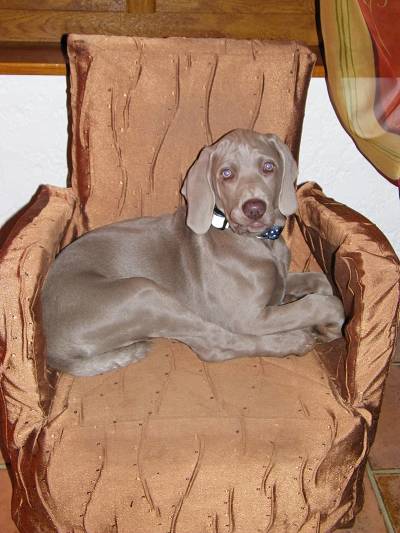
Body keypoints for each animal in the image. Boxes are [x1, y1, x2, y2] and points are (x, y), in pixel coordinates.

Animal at [41, 129, 344, 376]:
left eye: (268, 167)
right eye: (226, 174)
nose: (254, 208)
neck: (260, 243)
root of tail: (52, 349)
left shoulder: (282, 282)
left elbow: (321, 280)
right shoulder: (248, 316)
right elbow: (322, 303)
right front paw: (329, 325)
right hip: (143, 293)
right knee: (214, 344)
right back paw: (294, 340)